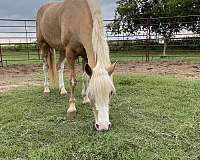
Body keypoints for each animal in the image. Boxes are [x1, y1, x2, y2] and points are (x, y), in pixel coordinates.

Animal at [36, 0, 116, 131]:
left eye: (111, 93)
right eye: (92, 94)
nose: (103, 126)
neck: (77, 16)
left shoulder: (85, 55)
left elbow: (85, 77)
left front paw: (85, 99)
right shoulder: (70, 52)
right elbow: (73, 80)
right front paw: (72, 108)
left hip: (61, 50)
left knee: (59, 67)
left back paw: (63, 90)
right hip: (43, 45)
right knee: (45, 67)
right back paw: (46, 89)